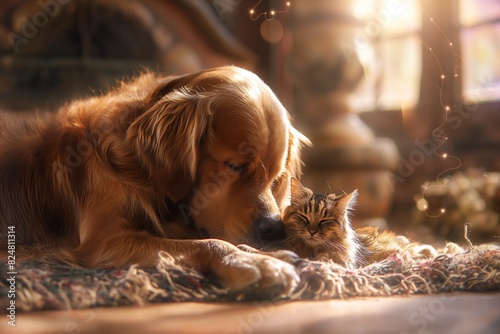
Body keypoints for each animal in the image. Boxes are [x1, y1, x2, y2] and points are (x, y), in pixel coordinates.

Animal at [0, 66, 310, 294]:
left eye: (275, 177)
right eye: (235, 166)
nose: (273, 229)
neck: (139, 169)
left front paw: (272, 255)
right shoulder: (103, 240)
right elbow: (207, 242)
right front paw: (255, 262)